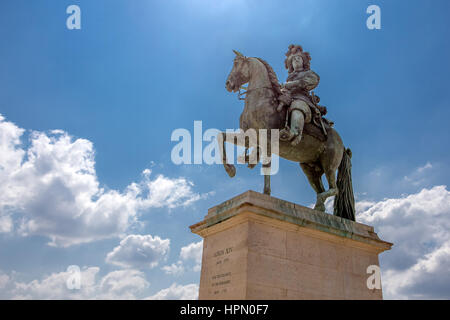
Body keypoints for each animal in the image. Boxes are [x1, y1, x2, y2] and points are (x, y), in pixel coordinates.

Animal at [218, 50, 356, 220]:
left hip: (329, 164)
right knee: (322, 188)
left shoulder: (267, 141)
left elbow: (267, 166)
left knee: (334, 189)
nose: (228, 84)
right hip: (309, 168)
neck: (260, 100)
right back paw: (318, 208)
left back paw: (319, 204)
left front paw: (266, 194)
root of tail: (342, 144)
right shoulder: (249, 138)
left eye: (237, 64)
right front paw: (230, 169)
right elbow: (221, 136)